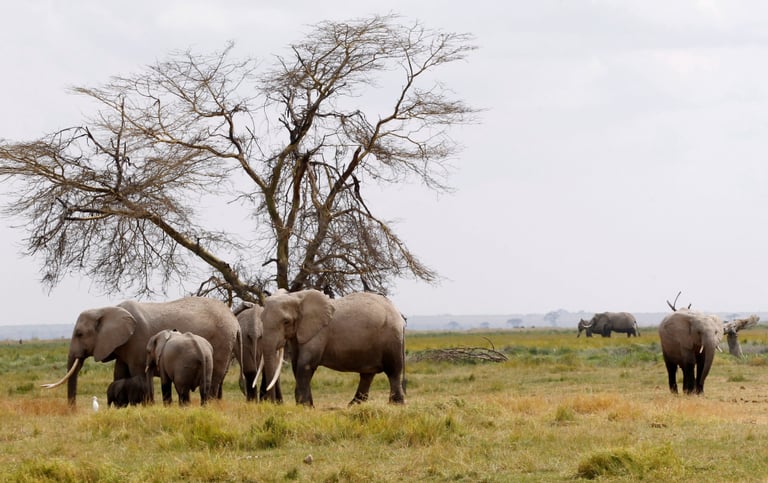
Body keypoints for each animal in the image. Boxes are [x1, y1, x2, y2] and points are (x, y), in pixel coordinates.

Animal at [39, 296, 243, 406]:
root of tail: (234, 320)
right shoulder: (121, 345)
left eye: (80, 334)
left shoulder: (137, 341)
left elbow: (137, 372)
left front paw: (147, 405)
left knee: (214, 378)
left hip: (222, 341)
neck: (106, 310)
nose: (72, 410)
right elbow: (119, 373)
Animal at [260, 290, 408, 406]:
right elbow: (296, 365)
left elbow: (305, 365)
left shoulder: (319, 332)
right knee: (367, 374)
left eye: (286, 322)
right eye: (261, 320)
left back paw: (395, 404)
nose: (273, 403)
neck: (297, 296)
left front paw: (304, 406)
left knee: (393, 370)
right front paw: (307, 406)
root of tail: (399, 315)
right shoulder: (298, 335)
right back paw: (353, 405)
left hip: (392, 336)